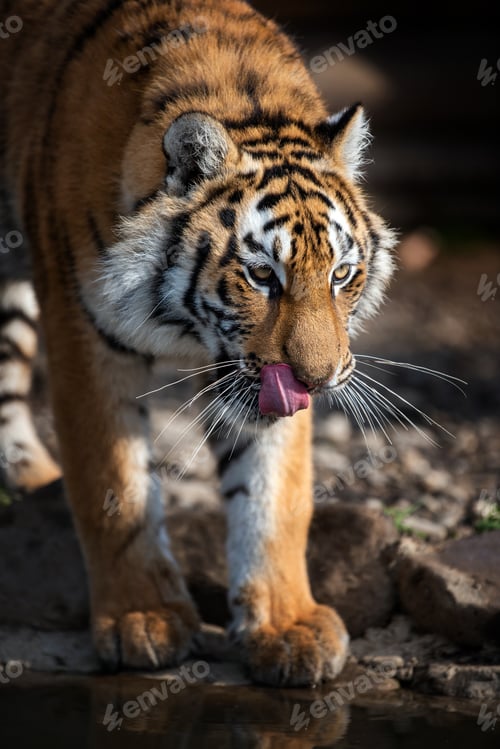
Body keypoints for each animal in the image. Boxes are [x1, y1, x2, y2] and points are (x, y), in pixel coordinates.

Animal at [0, 0, 396, 686]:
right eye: (262, 275)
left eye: (342, 274)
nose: (319, 381)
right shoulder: (84, 334)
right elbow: (114, 483)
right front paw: (143, 619)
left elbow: (276, 492)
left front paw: (287, 625)